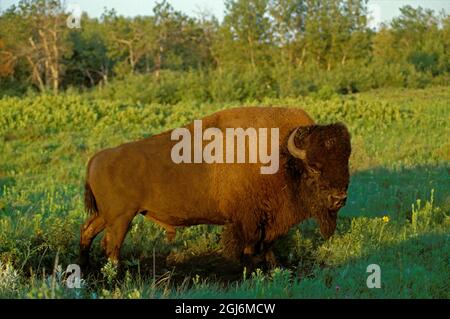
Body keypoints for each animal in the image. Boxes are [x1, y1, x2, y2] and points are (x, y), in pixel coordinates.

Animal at [80, 108, 352, 270]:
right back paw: (114, 273)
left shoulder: (268, 221)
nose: (339, 198)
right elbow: (249, 246)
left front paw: (273, 266)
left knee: (88, 232)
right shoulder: (248, 220)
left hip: (107, 215)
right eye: (314, 167)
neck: (282, 156)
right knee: (111, 244)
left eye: (345, 162)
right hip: (121, 217)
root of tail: (96, 158)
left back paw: (85, 268)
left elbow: (267, 245)